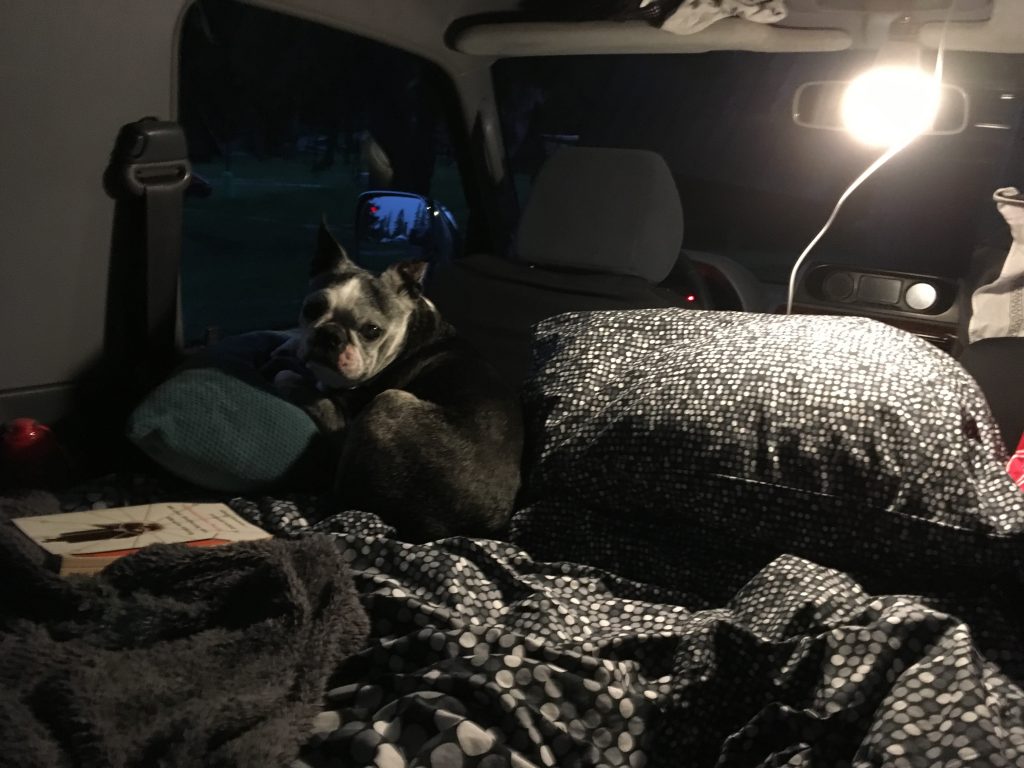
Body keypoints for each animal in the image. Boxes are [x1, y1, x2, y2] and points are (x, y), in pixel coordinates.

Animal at [271, 220, 523, 543]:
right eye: (311, 309)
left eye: (372, 331)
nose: (330, 335)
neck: (407, 334)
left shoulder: (342, 419)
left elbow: (299, 384)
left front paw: (288, 374)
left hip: (389, 403)